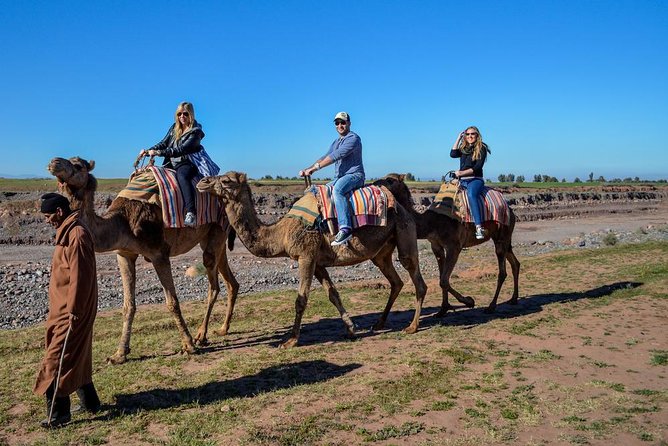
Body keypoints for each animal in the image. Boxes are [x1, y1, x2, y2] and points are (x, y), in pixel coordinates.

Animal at [47, 155, 240, 364]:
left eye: (78, 165)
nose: (54, 162)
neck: (122, 222)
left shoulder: (159, 253)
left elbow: (172, 302)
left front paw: (188, 345)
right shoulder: (124, 254)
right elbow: (128, 306)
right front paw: (119, 354)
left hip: (216, 232)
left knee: (213, 284)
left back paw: (200, 336)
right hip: (213, 238)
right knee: (230, 281)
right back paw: (222, 329)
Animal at [197, 172, 428, 348]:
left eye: (226, 180)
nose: (202, 181)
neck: (281, 233)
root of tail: (403, 206)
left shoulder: (306, 256)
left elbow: (300, 300)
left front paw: (290, 340)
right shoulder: (318, 262)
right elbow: (333, 294)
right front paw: (351, 329)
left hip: (404, 232)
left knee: (417, 280)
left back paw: (412, 326)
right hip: (381, 253)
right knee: (395, 281)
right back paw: (379, 323)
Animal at [374, 173, 520, 314]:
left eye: (390, 180)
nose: (375, 183)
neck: (431, 222)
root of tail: (510, 211)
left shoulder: (454, 246)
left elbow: (444, 280)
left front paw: (469, 301)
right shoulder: (436, 246)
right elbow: (441, 278)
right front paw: (443, 309)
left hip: (502, 234)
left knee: (502, 271)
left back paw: (491, 306)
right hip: (503, 238)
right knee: (515, 263)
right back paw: (513, 299)